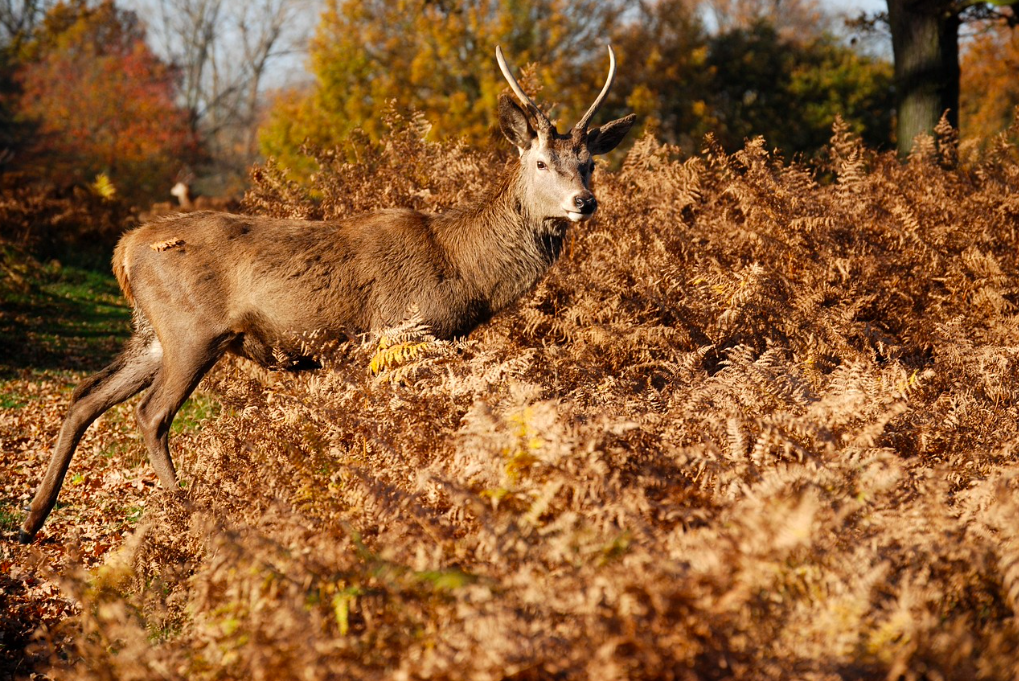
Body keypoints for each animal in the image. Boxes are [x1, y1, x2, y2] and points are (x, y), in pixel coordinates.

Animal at [15, 43, 631, 542]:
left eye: (590, 163)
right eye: (541, 161)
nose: (584, 202)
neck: (461, 270)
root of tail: (123, 250)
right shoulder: (399, 335)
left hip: (150, 335)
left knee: (85, 397)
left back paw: (31, 521)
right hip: (192, 330)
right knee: (149, 414)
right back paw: (192, 512)